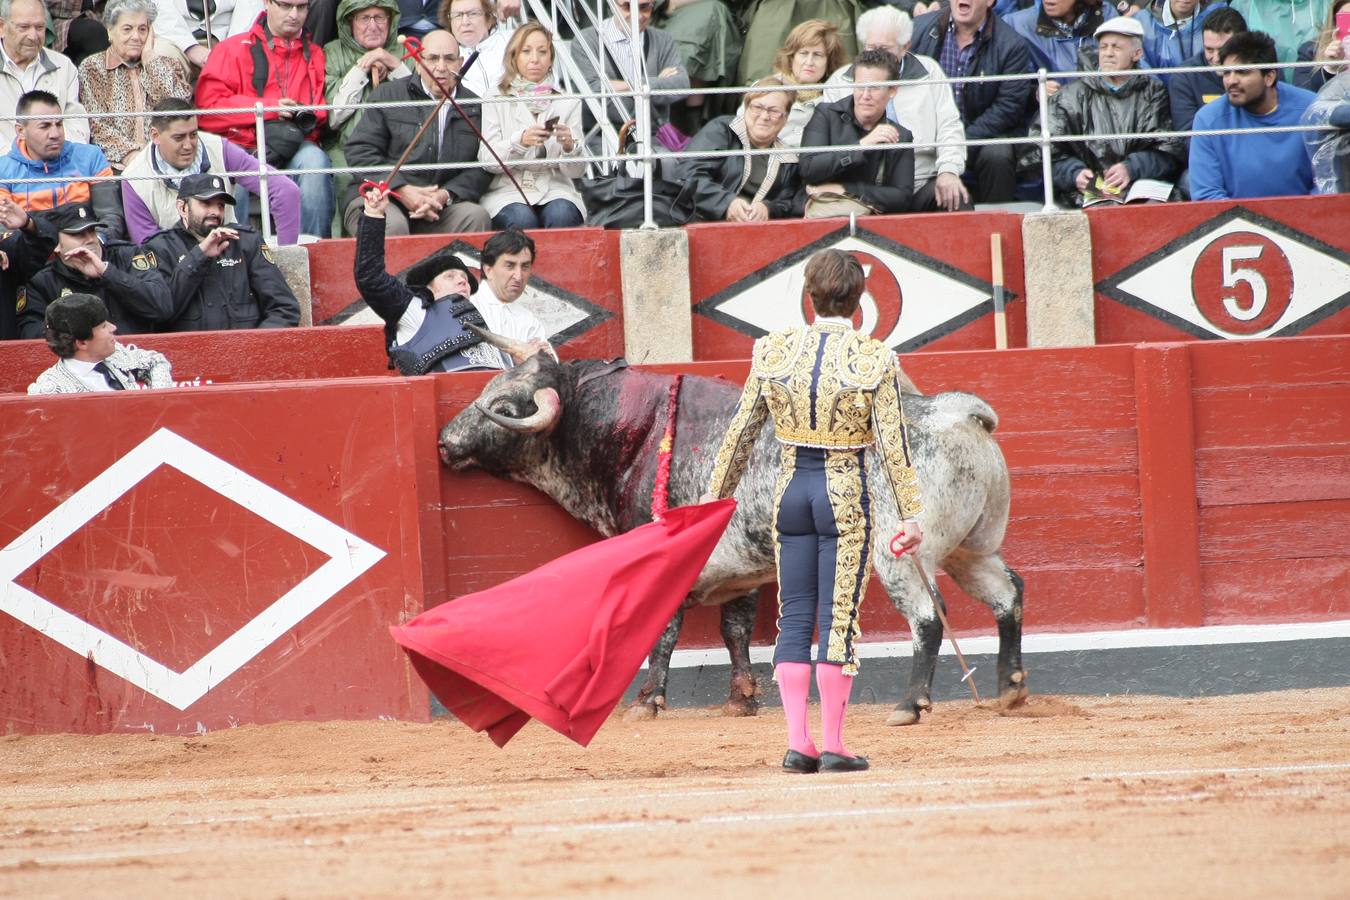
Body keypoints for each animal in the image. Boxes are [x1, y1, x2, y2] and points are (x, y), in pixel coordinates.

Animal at [437, 335, 1026, 723]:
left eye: (504, 406)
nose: (444, 440)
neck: (638, 431)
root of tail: (958, 414)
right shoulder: (741, 569)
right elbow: (735, 630)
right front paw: (741, 698)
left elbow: (664, 632)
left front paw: (646, 702)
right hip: (973, 549)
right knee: (1008, 594)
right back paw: (1011, 689)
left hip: (897, 553)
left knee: (929, 616)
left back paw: (910, 704)